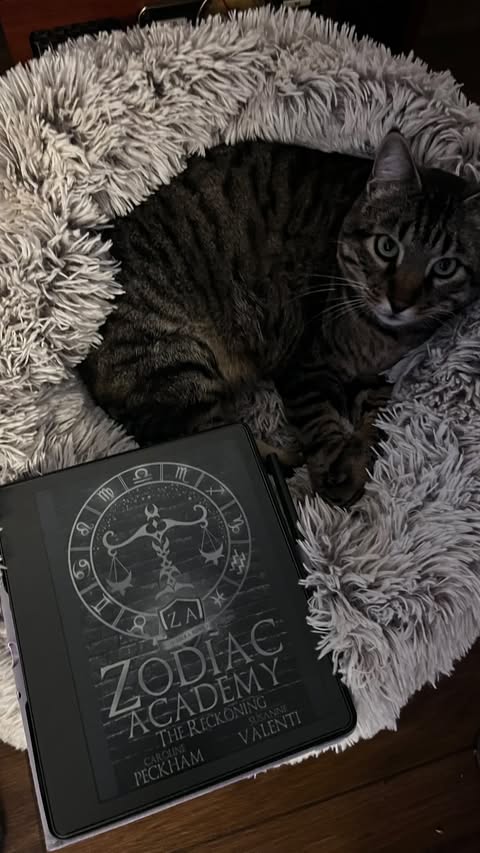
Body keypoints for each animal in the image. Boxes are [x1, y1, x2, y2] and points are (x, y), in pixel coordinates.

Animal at [80, 131, 480, 505]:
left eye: (445, 267)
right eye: (386, 246)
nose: (399, 302)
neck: (382, 337)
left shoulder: (375, 377)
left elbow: (377, 410)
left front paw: (360, 451)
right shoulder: (306, 363)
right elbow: (319, 416)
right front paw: (338, 470)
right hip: (175, 363)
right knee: (194, 432)